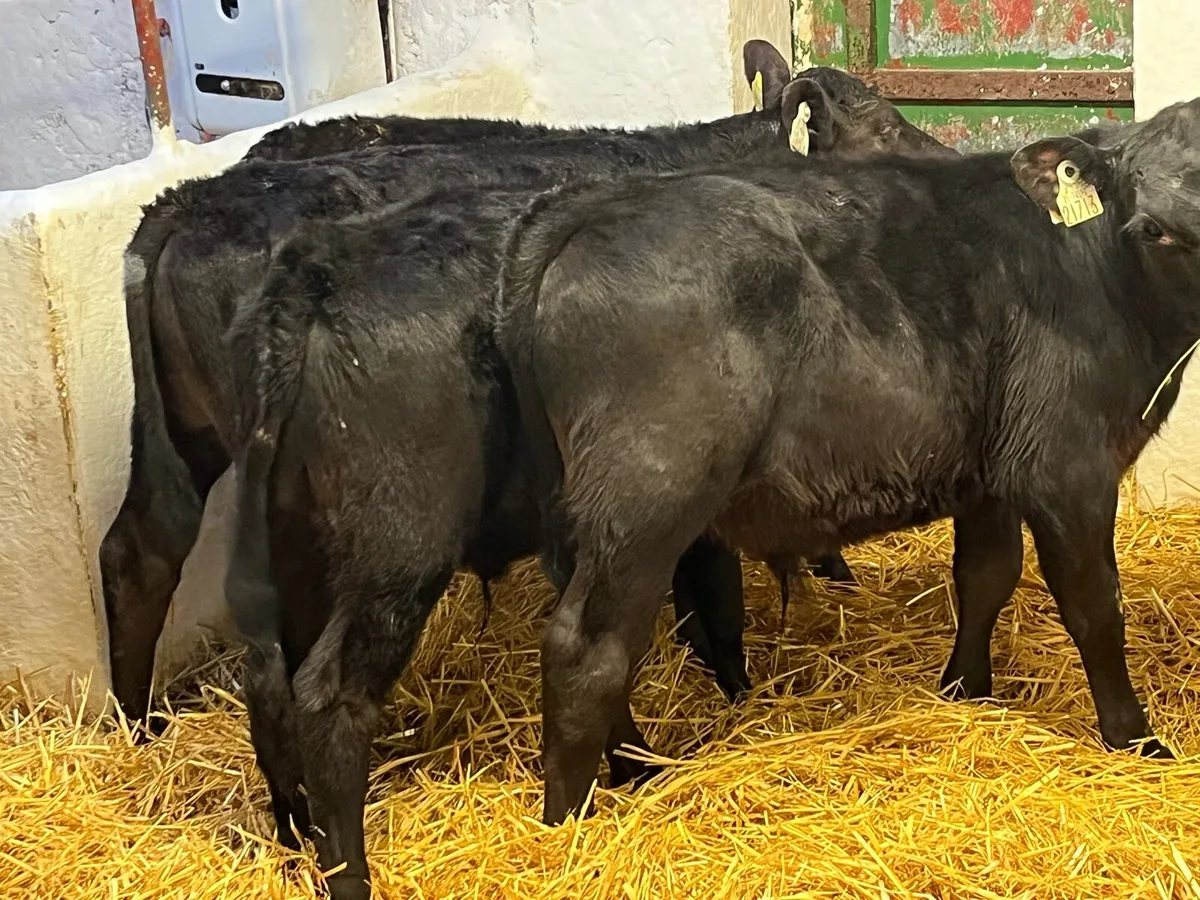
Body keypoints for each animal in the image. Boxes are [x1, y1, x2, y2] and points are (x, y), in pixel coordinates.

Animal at [496, 98, 1200, 826]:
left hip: (578, 506)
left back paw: (635, 769)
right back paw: (570, 820)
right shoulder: (1067, 464)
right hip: (646, 496)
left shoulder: (990, 471)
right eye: (1155, 231)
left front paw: (965, 691)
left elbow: (985, 577)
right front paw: (1137, 741)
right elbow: (1095, 607)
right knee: (589, 648)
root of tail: (591, 204)